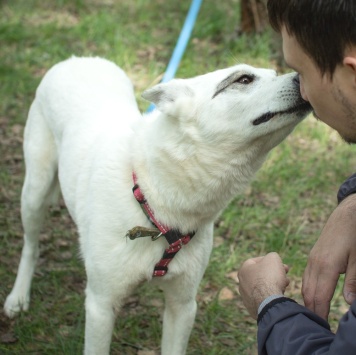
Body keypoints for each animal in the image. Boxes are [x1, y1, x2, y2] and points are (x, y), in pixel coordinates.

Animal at [2, 57, 308, 354]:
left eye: (274, 73)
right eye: (243, 79)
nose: (301, 78)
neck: (154, 199)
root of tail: (77, 59)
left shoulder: (183, 306)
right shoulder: (100, 306)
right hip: (35, 192)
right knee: (31, 245)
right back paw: (18, 297)